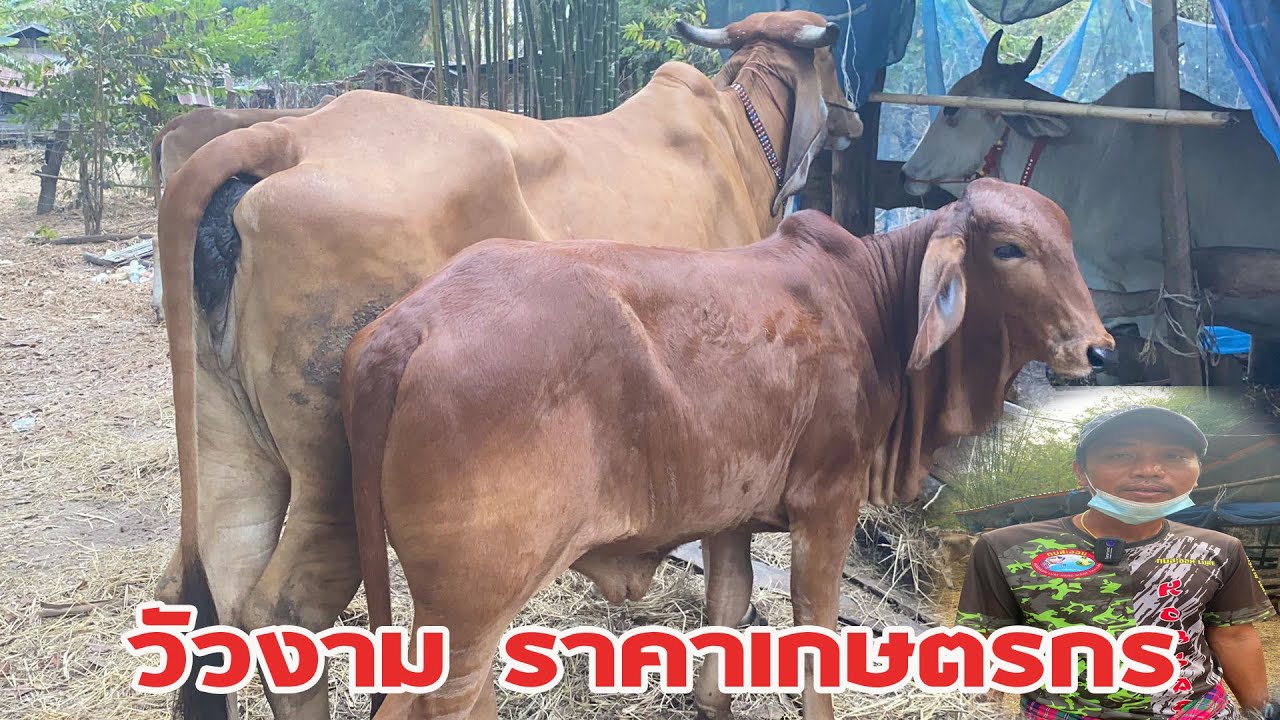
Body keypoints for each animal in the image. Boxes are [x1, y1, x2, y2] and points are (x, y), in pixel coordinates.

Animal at [342, 178, 1115, 720]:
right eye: (1008, 248)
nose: (1099, 349)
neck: (870, 307)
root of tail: (408, 326)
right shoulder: (827, 503)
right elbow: (814, 626)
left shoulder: (730, 517)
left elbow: (728, 606)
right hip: (473, 602)